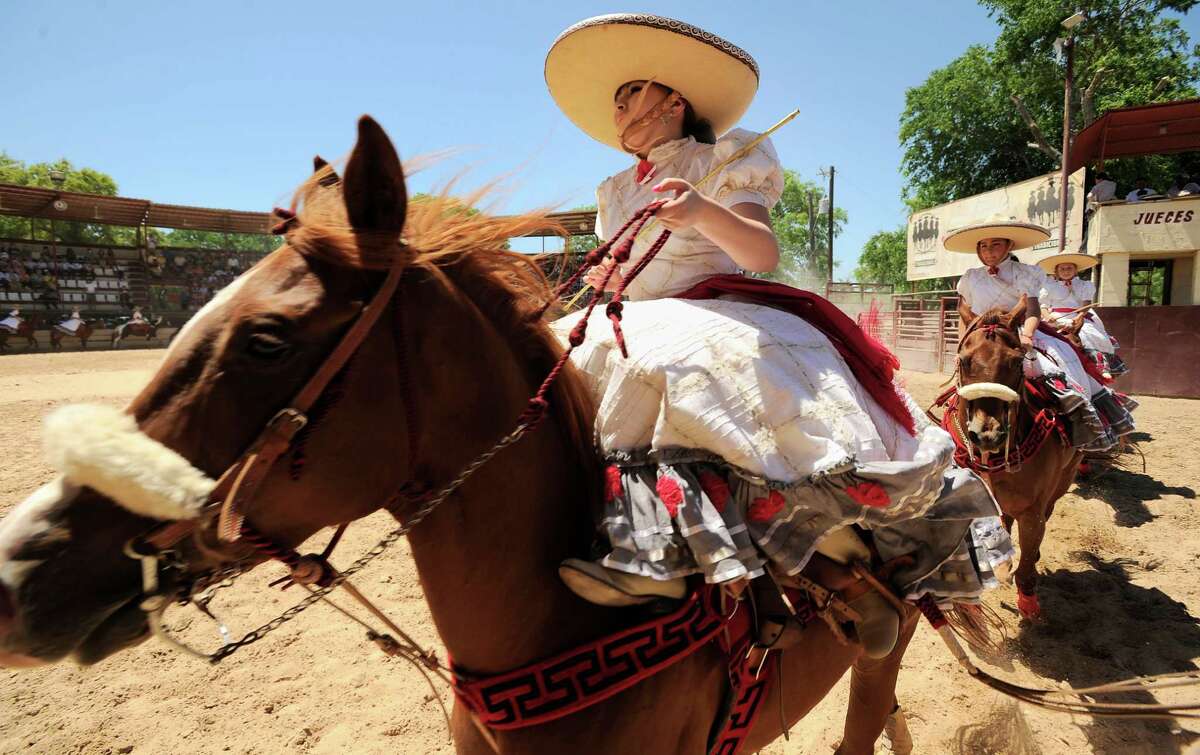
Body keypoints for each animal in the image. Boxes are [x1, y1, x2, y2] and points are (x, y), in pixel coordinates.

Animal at [950, 296, 1084, 619]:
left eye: (1015, 361)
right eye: (965, 360)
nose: (987, 434)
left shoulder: (1033, 511)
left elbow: (1027, 559)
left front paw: (1028, 602)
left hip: (1063, 479)